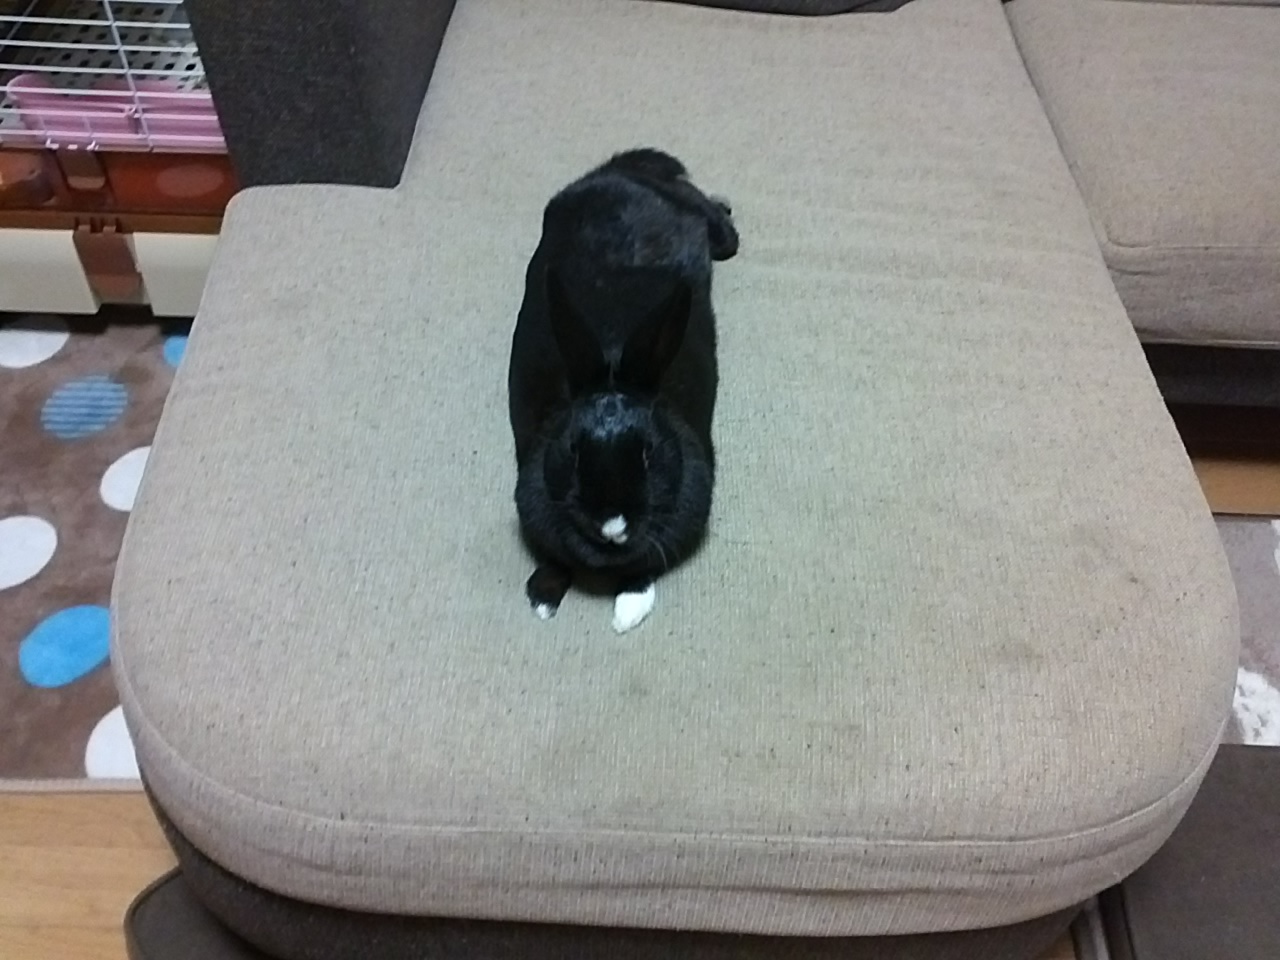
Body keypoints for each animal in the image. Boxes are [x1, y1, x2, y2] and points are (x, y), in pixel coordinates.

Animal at [508, 148, 738, 633]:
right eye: (573, 453)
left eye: (649, 454)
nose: (613, 527)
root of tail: (616, 172)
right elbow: (552, 558)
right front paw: (543, 598)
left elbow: (644, 566)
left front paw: (627, 611)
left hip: (696, 216)